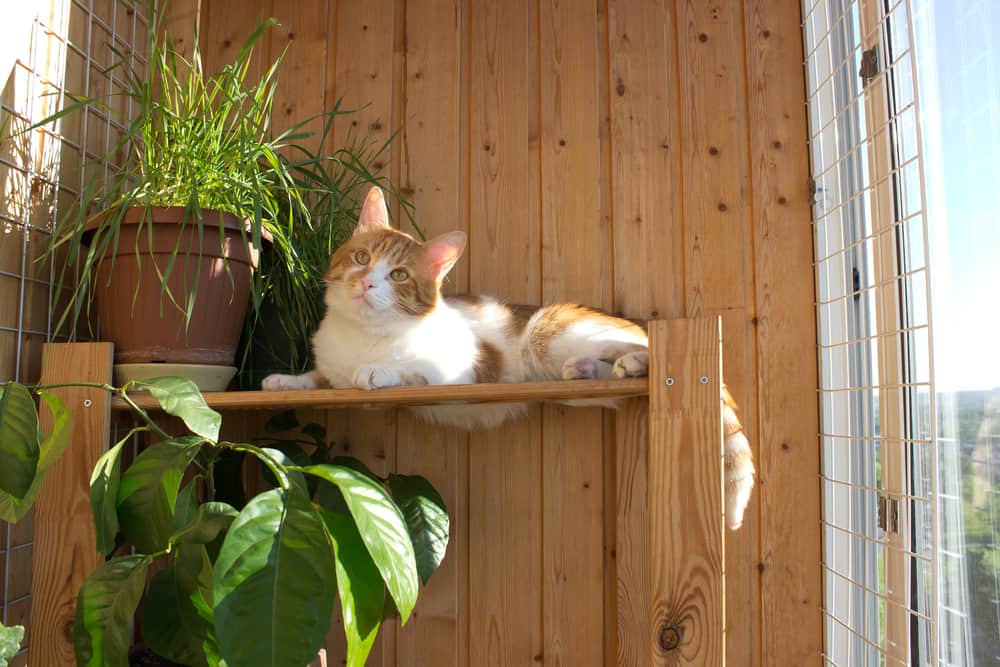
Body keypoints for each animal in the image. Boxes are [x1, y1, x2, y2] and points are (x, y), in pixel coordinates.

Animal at [262, 185, 752, 528]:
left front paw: (377, 370)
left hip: (549, 331)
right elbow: (321, 377)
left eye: (398, 275)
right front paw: (284, 380)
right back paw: (589, 370)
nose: (367, 283)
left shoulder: (460, 370)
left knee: (641, 348)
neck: (361, 335)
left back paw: (628, 362)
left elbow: (410, 369)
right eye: (362, 257)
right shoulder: (330, 368)